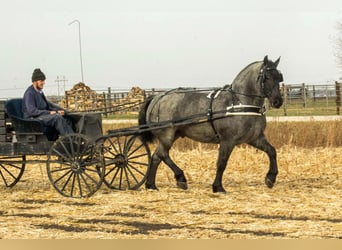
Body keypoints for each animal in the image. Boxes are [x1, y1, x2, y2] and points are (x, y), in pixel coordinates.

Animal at [137, 55, 284, 193]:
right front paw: (218, 187)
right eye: (267, 77)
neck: (240, 103)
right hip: (167, 135)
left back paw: (151, 185)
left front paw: (271, 177)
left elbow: (272, 151)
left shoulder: (255, 138)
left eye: (279, 77)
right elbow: (222, 163)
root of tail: (157, 97)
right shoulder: (227, 140)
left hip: (172, 135)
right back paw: (180, 178)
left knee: (156, 156)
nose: (278, 101)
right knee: (163, 154)